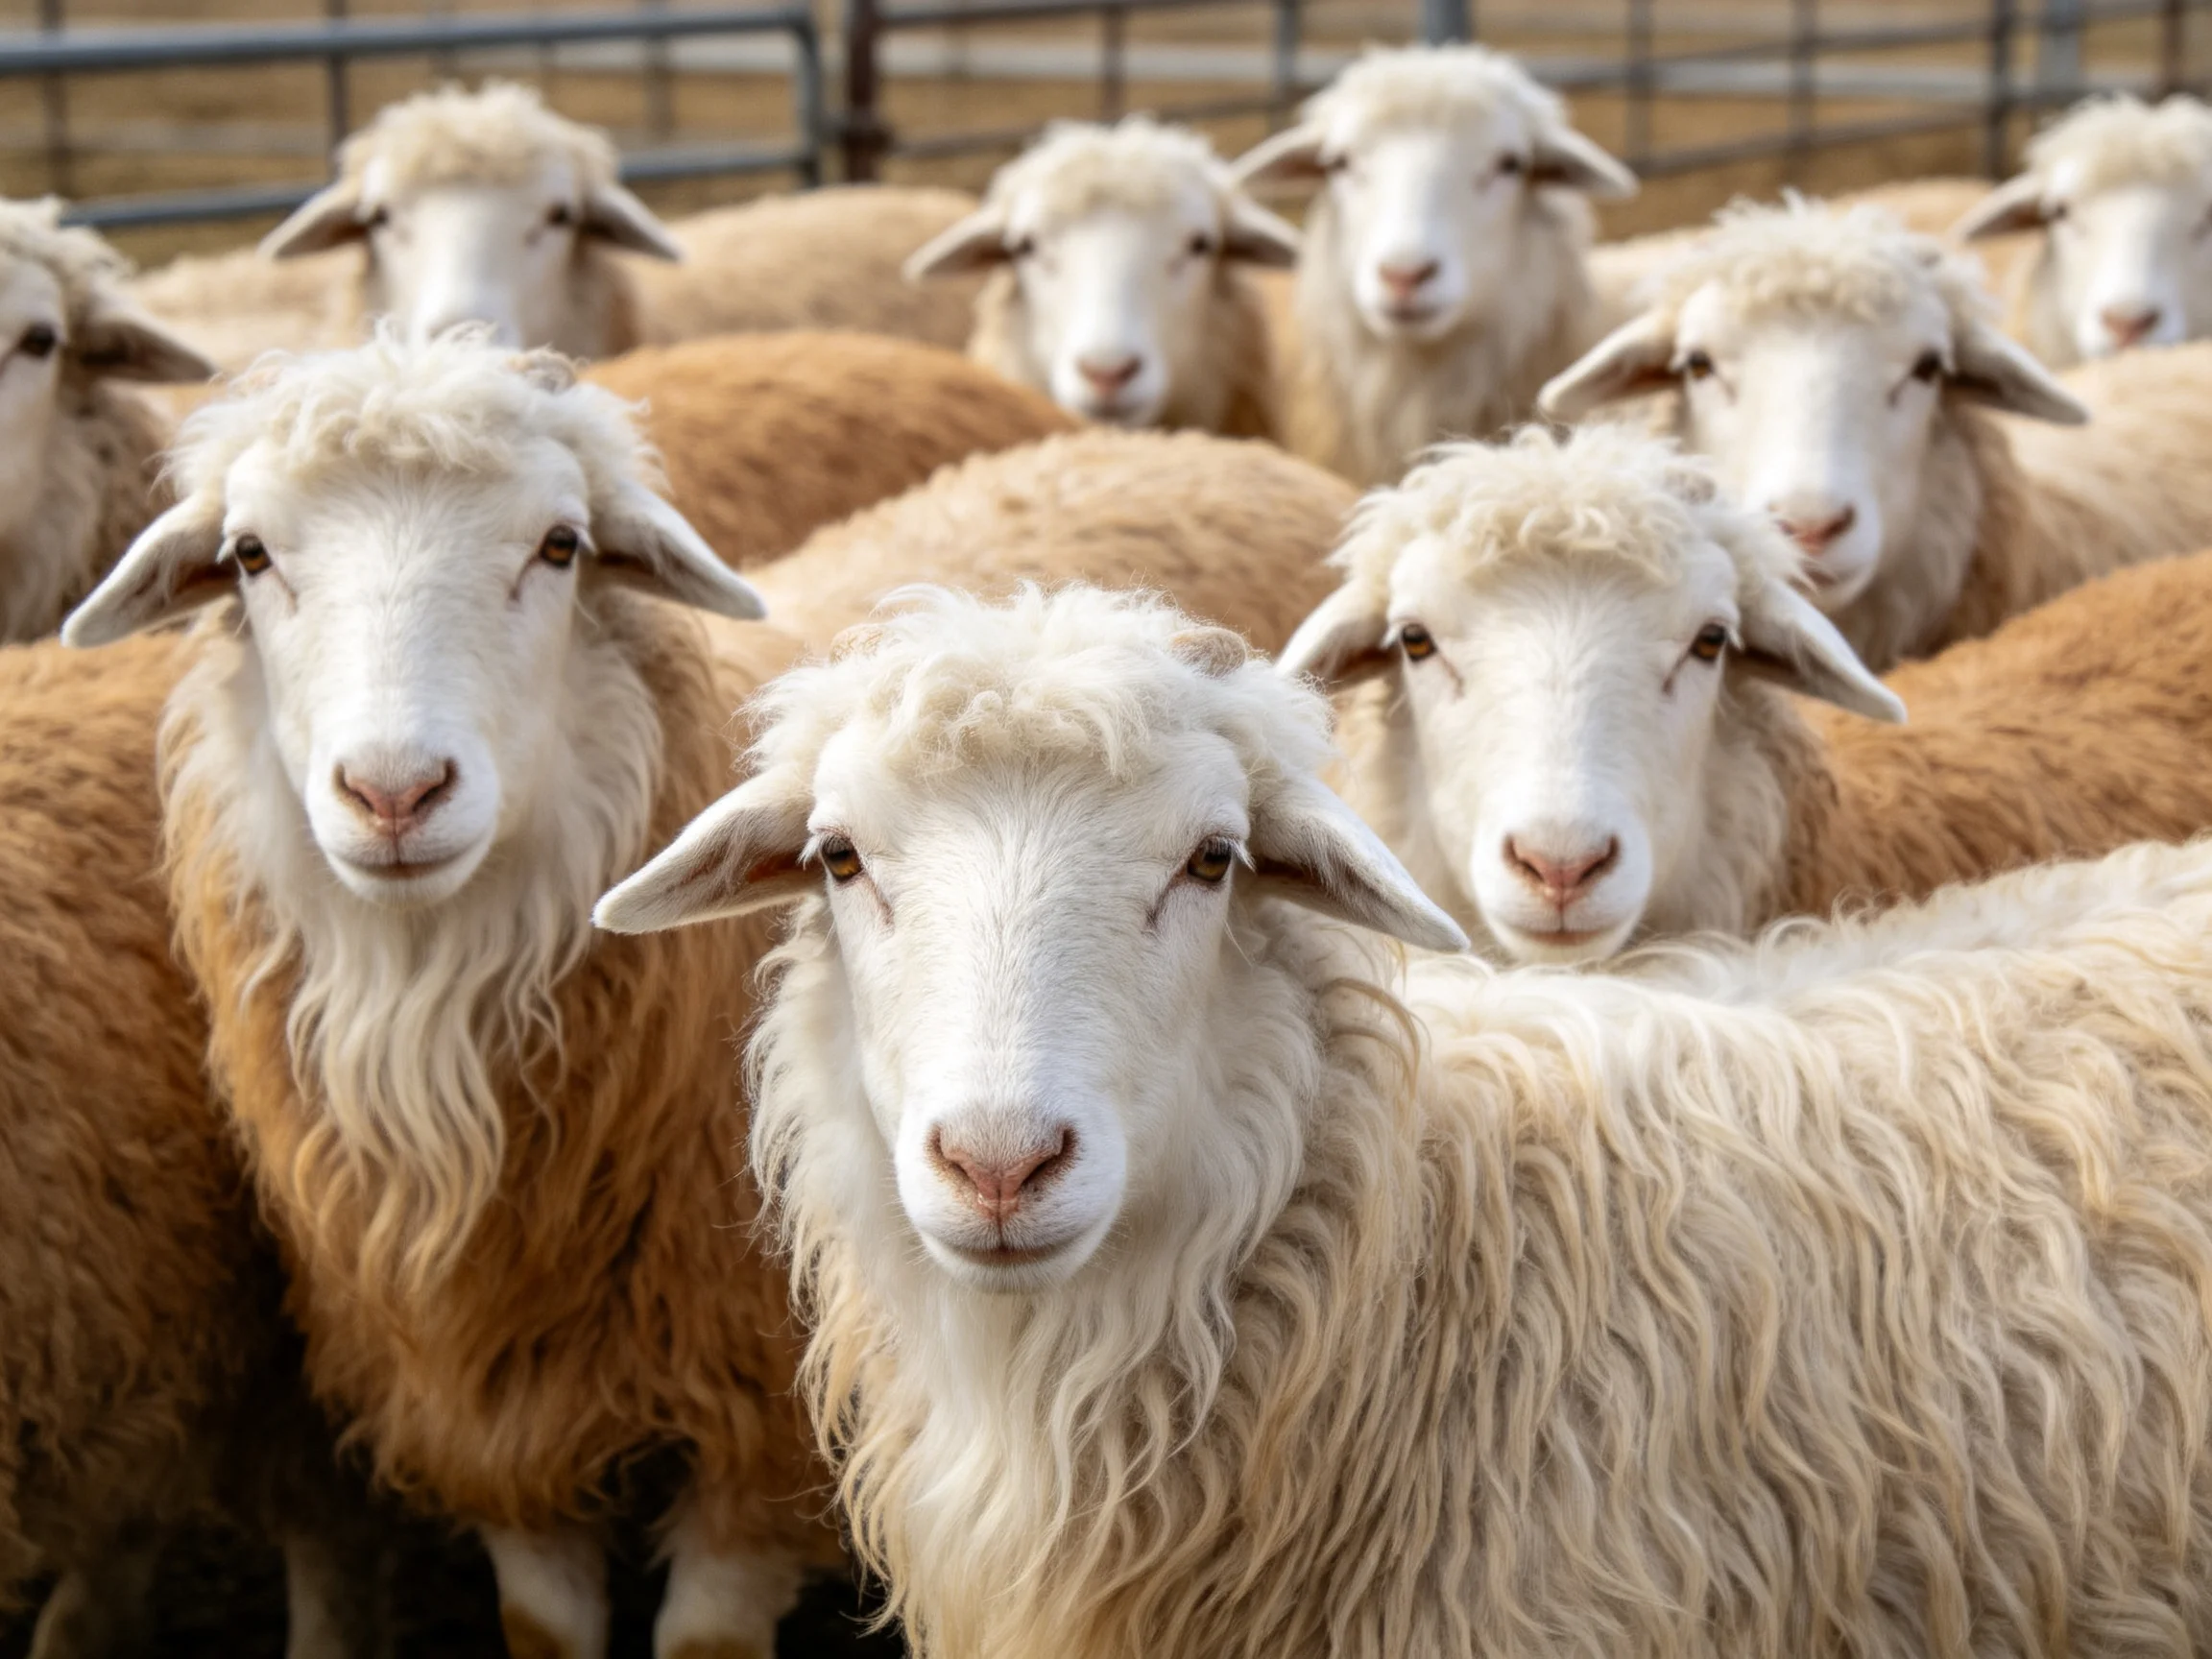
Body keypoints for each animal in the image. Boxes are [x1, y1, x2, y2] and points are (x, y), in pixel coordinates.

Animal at [60, 332, 838, 1659]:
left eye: (561, 546)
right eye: (251, 556)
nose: (394, 793)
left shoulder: (758, 1439)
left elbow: (705, 1640)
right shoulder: (487, 1406)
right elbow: (544, 1629)